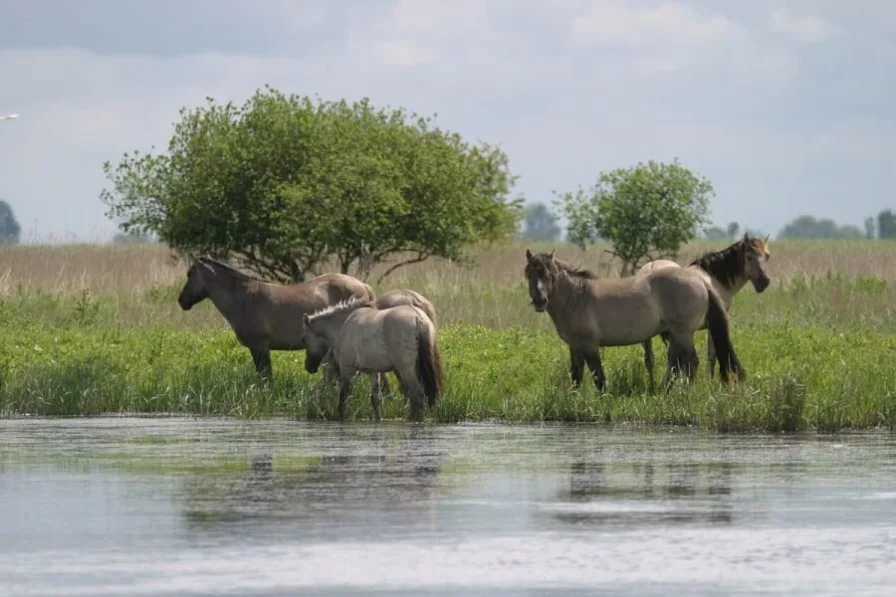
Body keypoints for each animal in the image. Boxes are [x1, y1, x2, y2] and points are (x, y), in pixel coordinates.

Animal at [178, 256, 374, 378]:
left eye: (190, 274)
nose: (181, 301)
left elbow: (265, 377)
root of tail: (363, 286)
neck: (245, 299)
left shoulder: (260, 347)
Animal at [300, 296, 444, 422]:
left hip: (406, 370)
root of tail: (417, 317)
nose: (309, 366)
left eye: (304, 339)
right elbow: (376, 400)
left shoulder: (347, 369)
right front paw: (378, 420)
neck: (345, 325)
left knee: (417, 396)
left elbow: (343, 399)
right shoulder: (374, 371)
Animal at [520, 248, 744, 392]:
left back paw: (685, 393)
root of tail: (700, 281)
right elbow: (576, 376)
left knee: (691, 362)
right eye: (530, 275)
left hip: (682, 332)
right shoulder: (575, 346)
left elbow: (598, 376)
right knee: (681, 363)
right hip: (677, 334)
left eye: (549, 275)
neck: (576, 297)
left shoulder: (590, 345)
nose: (540, 301)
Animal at [636, 234, 768, 382]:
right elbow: (711, 356)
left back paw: (653, 384)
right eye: (749, 257)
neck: (713, 278)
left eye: (767, 256)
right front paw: (710, 381)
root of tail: (651, 268)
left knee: (650, 360)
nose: (764, 281)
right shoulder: (712, 325)